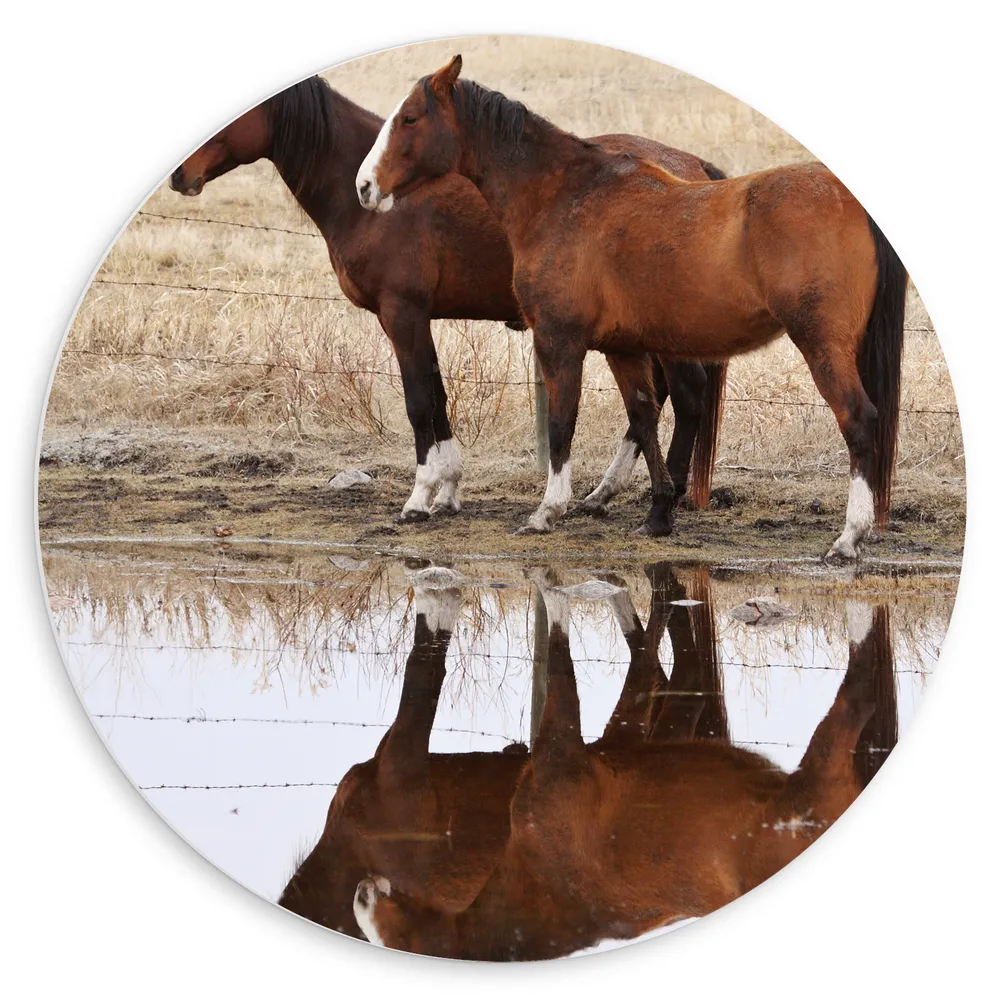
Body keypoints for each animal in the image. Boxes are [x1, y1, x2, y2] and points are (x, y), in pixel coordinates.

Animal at [168, 76, 728, 534]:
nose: (177, 176)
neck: (378, 201)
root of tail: (693, 168)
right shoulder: (418, 320)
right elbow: (438, 400)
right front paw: (448, 493)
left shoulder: (403, 315)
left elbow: (419, 403)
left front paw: (418, 500)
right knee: (659, 401)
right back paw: (607, 495)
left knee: (684, 395)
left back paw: (658, 499)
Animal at [354, 581, 898, 960]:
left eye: (400, 941)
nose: (362, 893)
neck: (545, 881)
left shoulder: (560, 751)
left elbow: (559, 652)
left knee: (856, 700)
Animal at [357, 56, 909, 558]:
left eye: (410, 118)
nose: (364, 186)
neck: (564, 197)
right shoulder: (622, 348)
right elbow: (643, 418)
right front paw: (658, 512)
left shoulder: (559, 340)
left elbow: (562, 422)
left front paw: (548, 510)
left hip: (821, 345)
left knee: (858, 419)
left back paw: (849, 536)